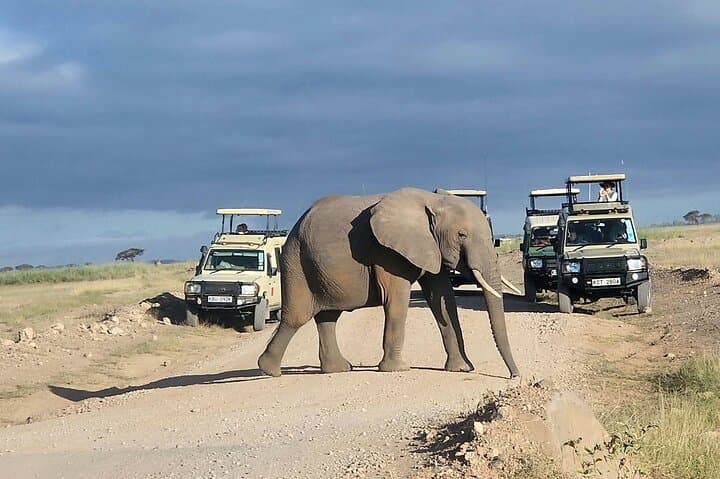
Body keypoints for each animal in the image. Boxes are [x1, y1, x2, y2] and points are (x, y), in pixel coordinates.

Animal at [257, 187, 520, 378]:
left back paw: (338, 369)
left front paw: (461, 369)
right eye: (462, 235)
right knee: (297, 317)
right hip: (296, 259)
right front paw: (398, 369)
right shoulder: (387, 253)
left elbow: (442, 298)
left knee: (328, 317)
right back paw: (268, 370)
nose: (514, 376)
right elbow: (396, 300)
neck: (433, 200)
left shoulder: (430, 246)